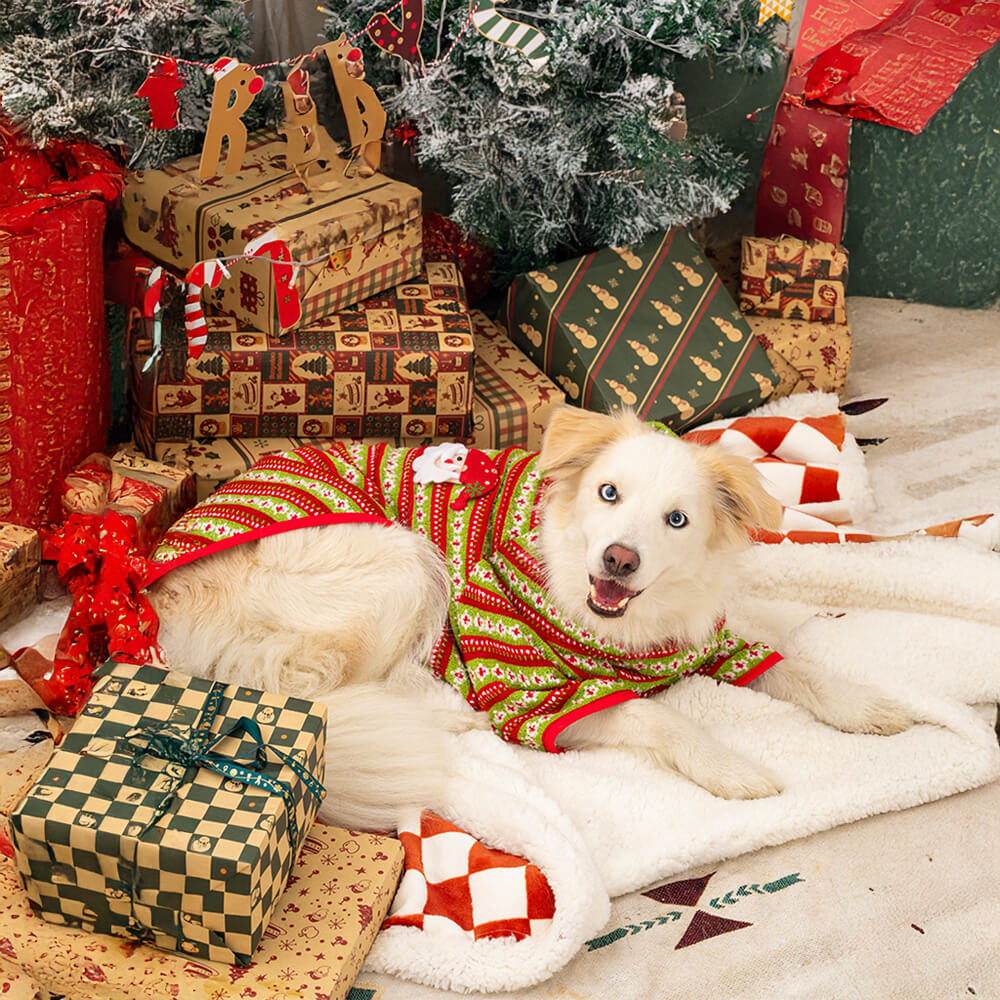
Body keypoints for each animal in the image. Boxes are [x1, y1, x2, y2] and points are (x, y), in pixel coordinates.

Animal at [150, 406, 916, 828]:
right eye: (608, 493)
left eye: (676, 520)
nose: (618, 560)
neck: (618, 624)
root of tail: (157, 597)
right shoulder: (537, 699)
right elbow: (655, 715)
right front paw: (731, 769)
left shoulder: (703, 642)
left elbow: (794, 666)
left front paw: (864, 704)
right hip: (401, 558)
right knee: (310, 688)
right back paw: (442, 719)